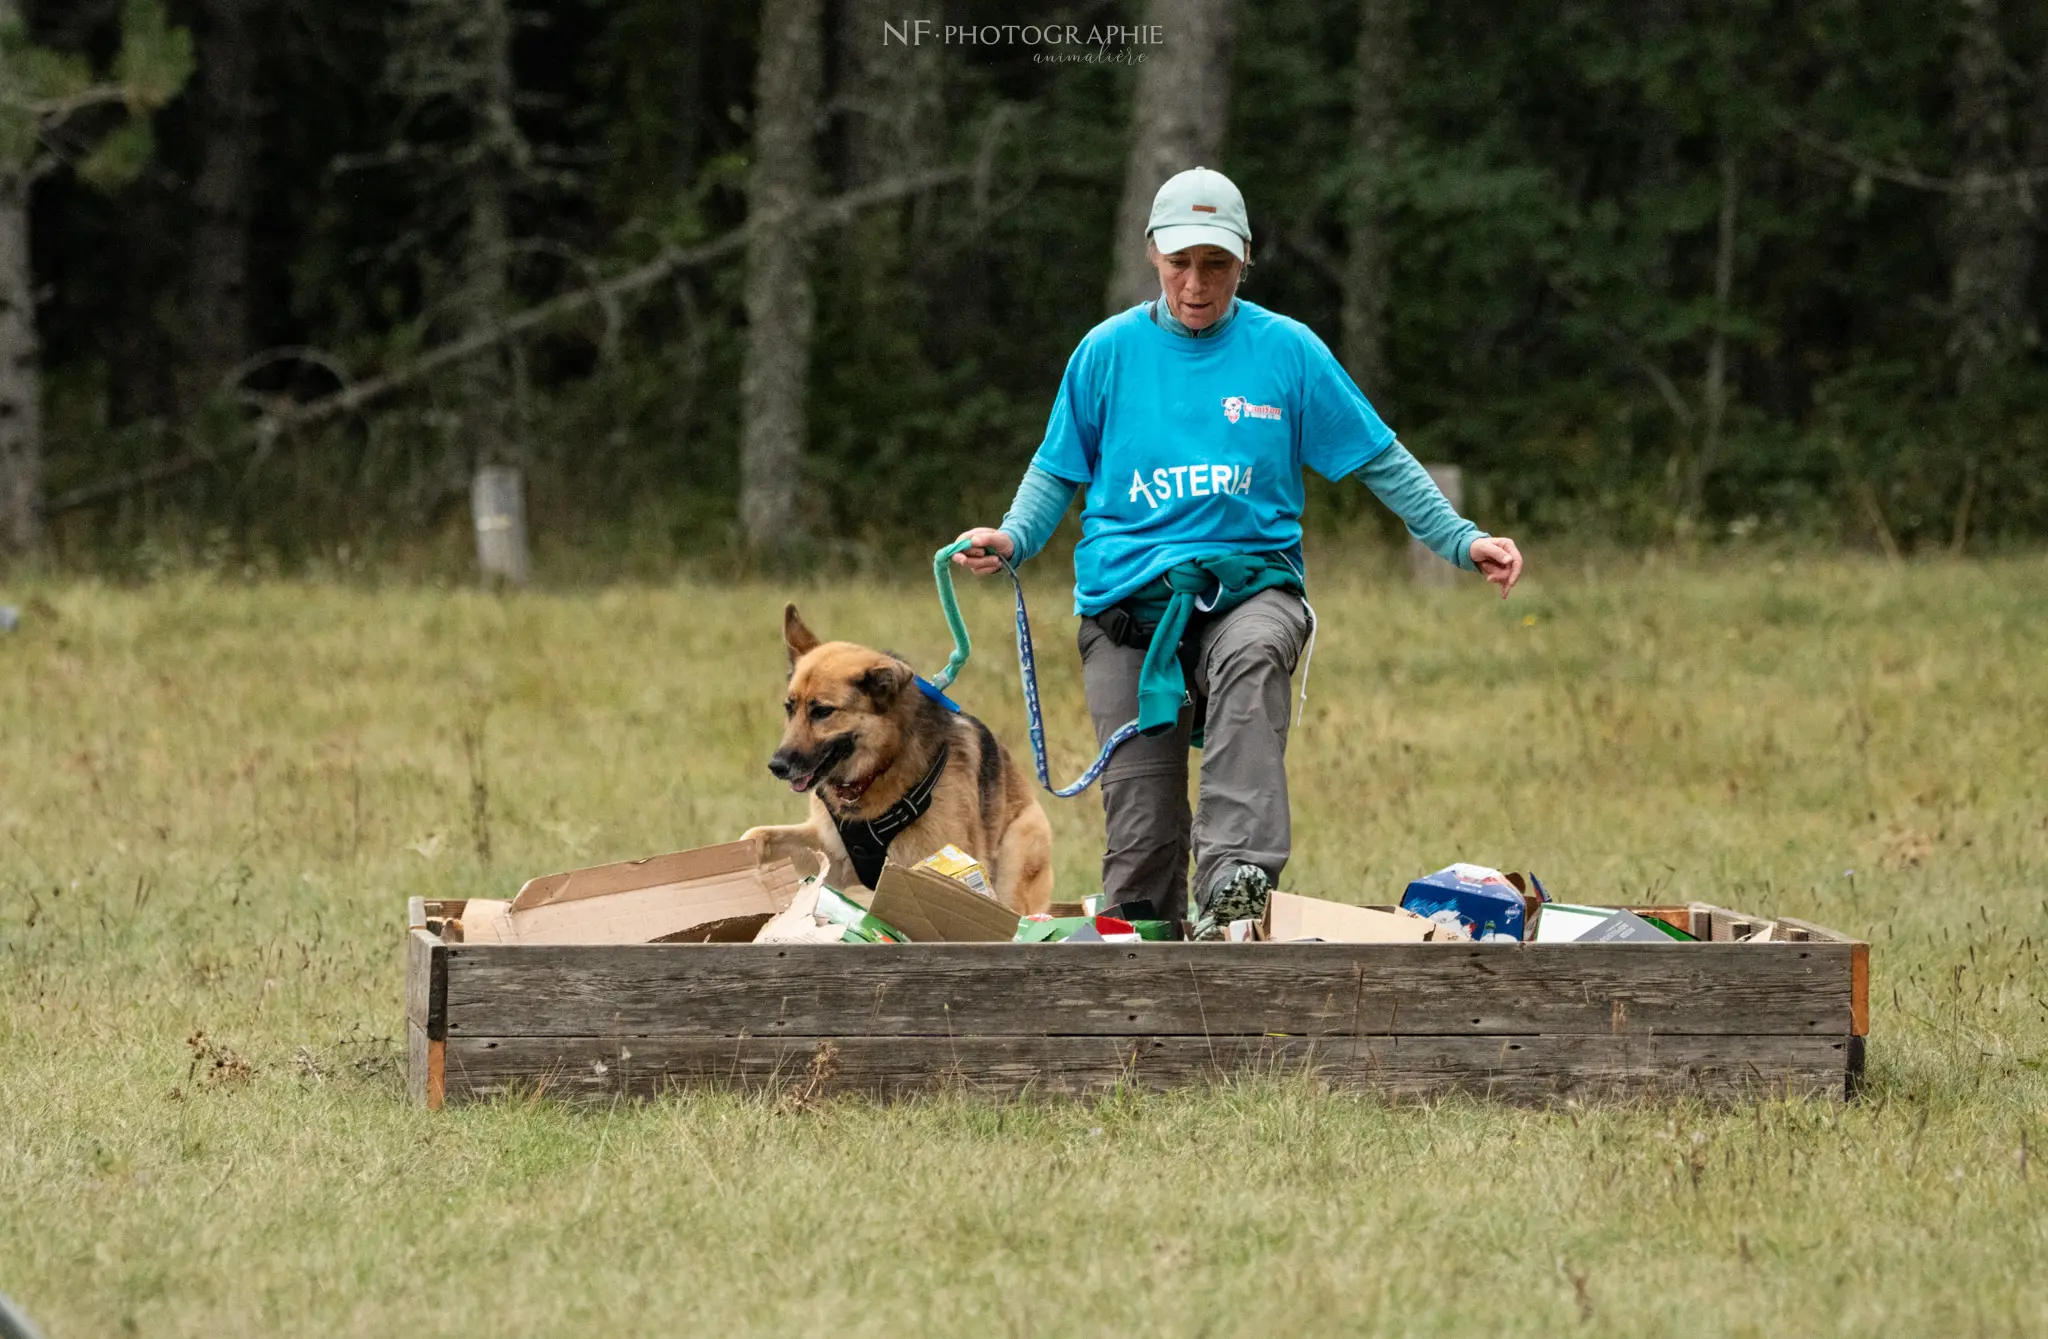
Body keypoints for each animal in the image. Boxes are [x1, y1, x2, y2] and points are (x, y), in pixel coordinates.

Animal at [745, 606, 1056, 913]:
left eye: (822, 712)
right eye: (790, 707)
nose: (776, 766)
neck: (877, 771)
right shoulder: (833, 853)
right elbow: (756, 834)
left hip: (1016, 858)